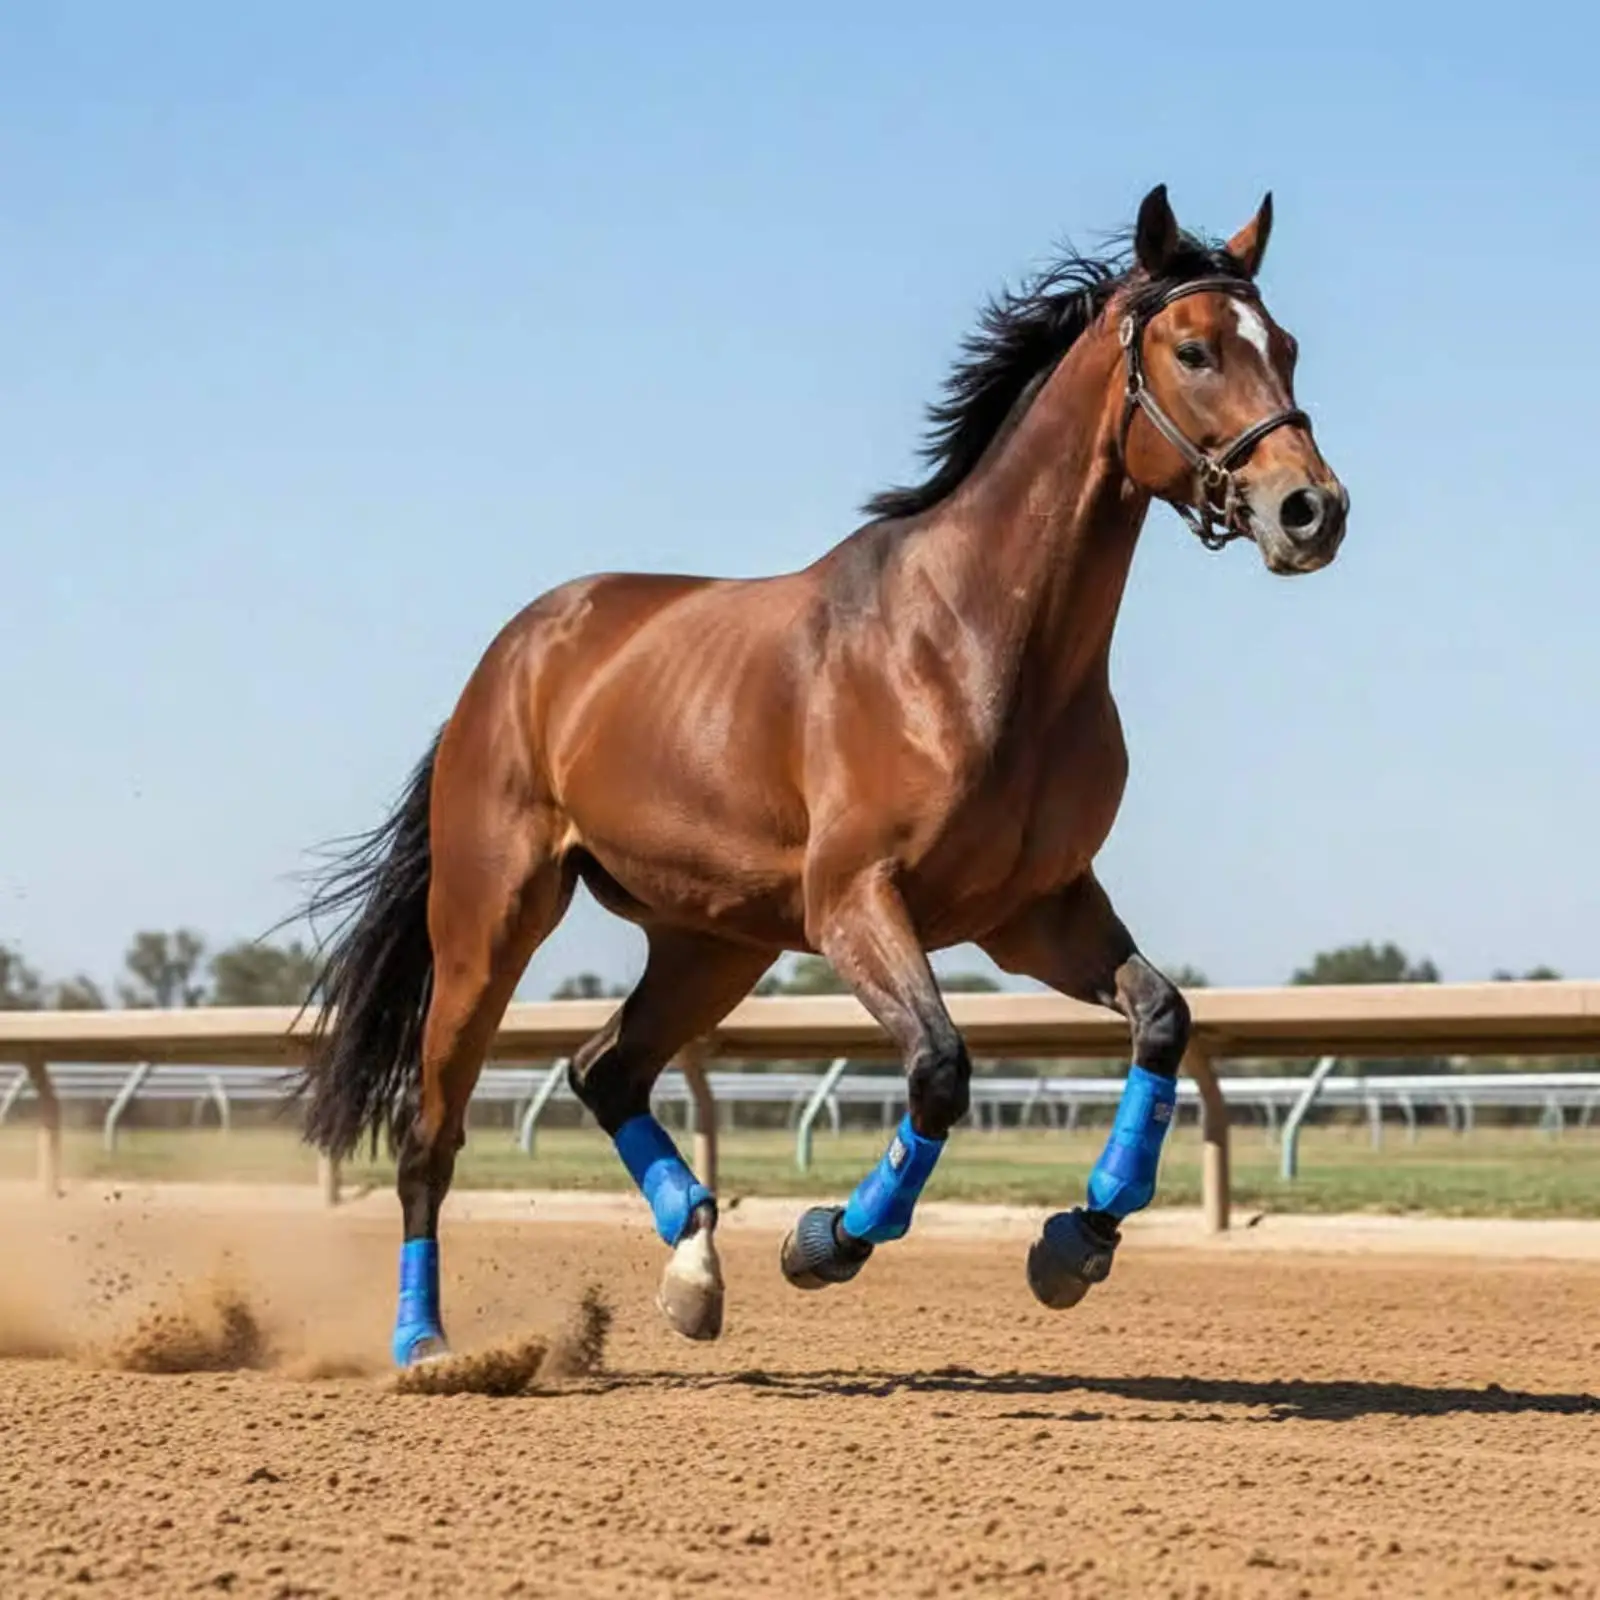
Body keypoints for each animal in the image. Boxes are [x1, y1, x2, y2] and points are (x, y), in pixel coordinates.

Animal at [298, 184, 1347, 1366]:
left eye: (1287, 347)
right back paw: (427, 1345)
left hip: (713, 941)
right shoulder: (854, 900)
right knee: (431, 1130)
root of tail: (507, 660)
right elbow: (938, 1068)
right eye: (1195, 348)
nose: (1312, 510)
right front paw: (824, 1240)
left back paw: (693, 1268)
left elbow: (1161, 1017)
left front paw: (1077, 1239)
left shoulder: (1034, 911)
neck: (982, 647)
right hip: (491, 919)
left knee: (605, 1067)